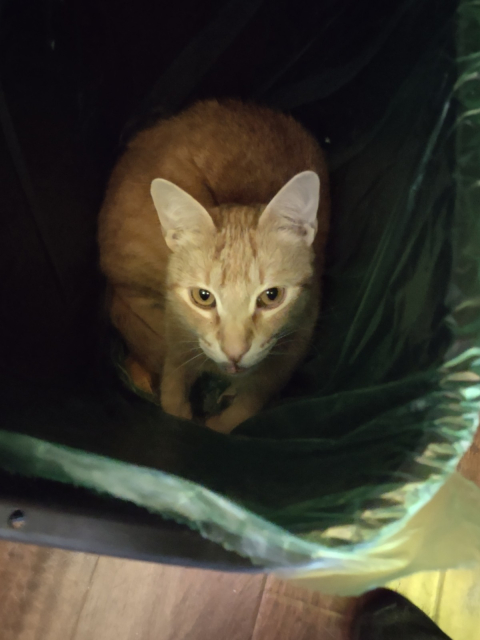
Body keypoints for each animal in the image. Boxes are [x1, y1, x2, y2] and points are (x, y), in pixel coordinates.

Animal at [97, 100, 330, 432]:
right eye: (203, 297)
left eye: (271, 296)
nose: (234, 354)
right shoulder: (176, 343)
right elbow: (172, 400)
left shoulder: (293, 346)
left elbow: (248, 404)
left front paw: (223, 416)